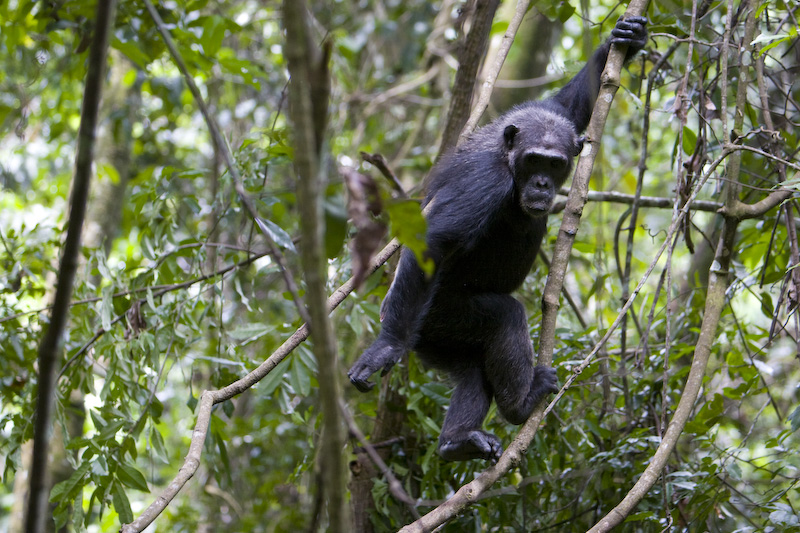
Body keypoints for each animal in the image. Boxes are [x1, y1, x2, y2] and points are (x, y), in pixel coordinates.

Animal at [346, 15, 648, 458]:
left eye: (555, 164)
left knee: (471, 371)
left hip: (437, 340)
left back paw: (458, 441)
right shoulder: (484, 181)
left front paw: (624, 38)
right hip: (444, 312)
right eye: (535, 160)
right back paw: (519, 405)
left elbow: (569, 106)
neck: (510, 161)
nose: (541, 183)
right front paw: (385, 348)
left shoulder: (546, 116)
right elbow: (436, 242)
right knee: (505, 318)